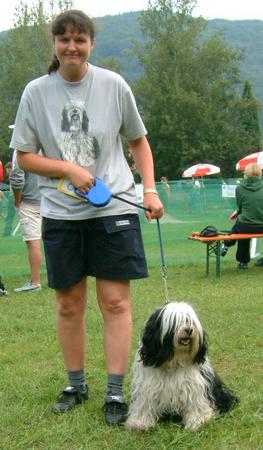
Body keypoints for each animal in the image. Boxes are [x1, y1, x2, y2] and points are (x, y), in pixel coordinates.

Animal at [126, 300, 239, 430]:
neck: (175, 360)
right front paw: (139, 421)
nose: (189, 330)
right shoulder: (148, 386)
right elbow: (145, 403)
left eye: (189, 321)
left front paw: (197, 420)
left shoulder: (194, 387)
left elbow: (195, 403)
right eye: (175, 322)